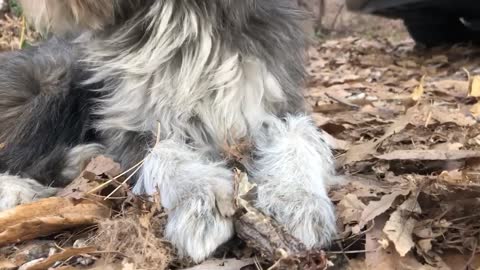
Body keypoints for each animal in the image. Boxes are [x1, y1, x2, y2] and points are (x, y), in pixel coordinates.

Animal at [0, 0, 338, 262]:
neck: (182, 20)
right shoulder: (126, 125)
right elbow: (163, 149)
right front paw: (199, 198)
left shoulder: (273, 102)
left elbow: (299, 136)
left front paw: (296, 200)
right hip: (52, 77)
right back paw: (26, 186)